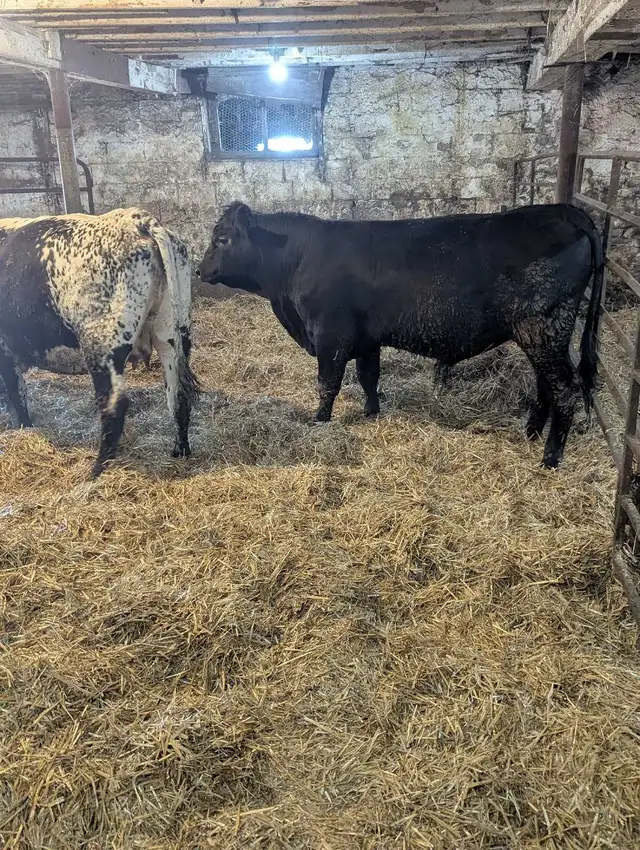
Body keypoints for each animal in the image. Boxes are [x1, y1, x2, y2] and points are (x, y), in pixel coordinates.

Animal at [0, 208, 200, 477]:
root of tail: (135, 219)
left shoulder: (6, 354)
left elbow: (16, 396)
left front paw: (23, 429)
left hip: (102, 347)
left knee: (114, 408)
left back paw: (97, 471)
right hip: (173, 335)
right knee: (178, 396)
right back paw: (180, 451)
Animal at [196, 202, 604, 469]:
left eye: (222, 239)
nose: (200, 270)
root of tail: (566, 210)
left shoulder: (330, 334)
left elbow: (328, 383)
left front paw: (319, 421)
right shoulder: (366, 338)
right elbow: (368, 377)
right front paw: (371, 412)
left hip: (542, 327)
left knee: (564, 389)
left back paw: (550, 457)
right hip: (544, 334)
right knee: (547, 384)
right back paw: (531, 432)